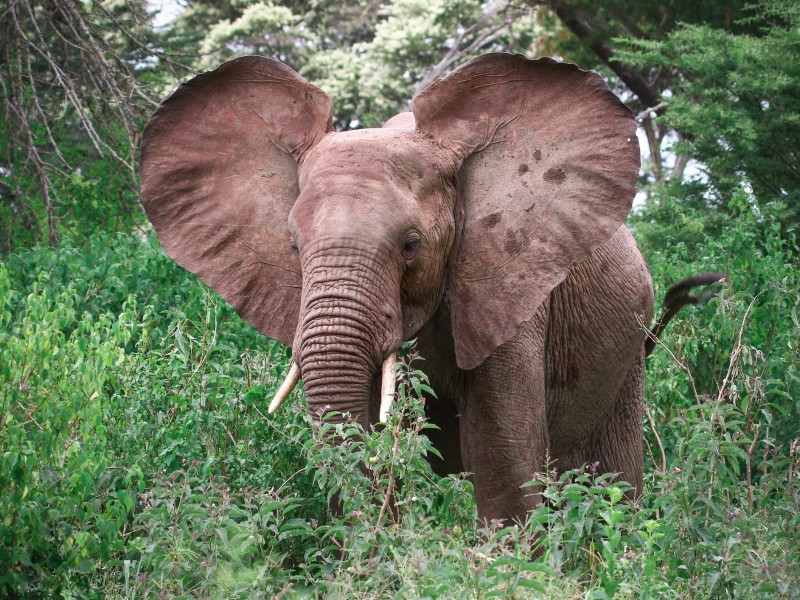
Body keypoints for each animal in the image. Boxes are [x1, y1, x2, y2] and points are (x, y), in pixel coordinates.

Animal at [140, 52, 659, 525]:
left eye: (411, 245)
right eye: (293, 246)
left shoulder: (510, 286)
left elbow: (504, 463)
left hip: (631, 341)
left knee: (613, 485)